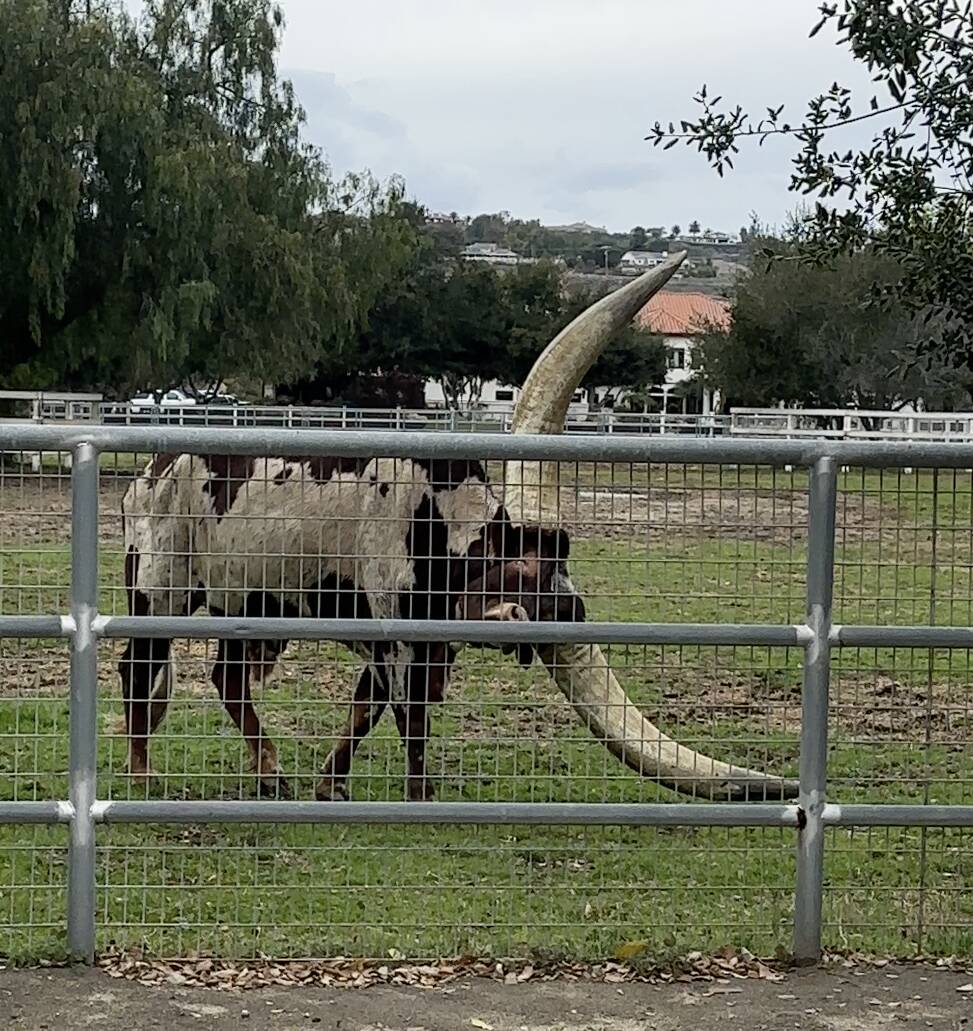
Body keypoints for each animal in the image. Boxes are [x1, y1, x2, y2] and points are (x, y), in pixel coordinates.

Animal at [118, 253, 799, 800]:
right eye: (532, 581)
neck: (443, 521)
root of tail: (150, 470)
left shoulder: (407, 635)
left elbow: (367, 707)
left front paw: (332, 785)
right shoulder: (397, 631)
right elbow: (408, 715)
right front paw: (419, 797)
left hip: (247, 601)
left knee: (229, 681)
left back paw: (269, 774)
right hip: (160, 589)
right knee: (138, 668)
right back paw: (141, 775)